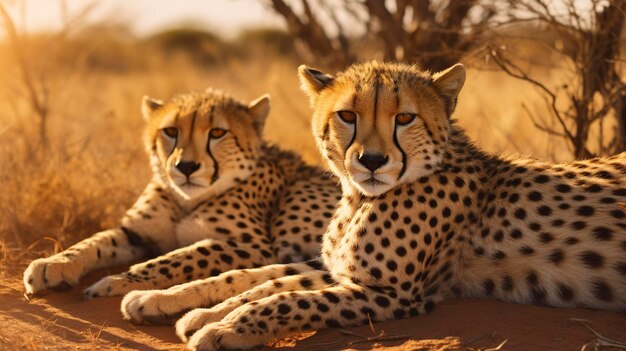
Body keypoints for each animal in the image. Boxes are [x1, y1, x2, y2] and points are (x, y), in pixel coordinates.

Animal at [22, 88, 338, 300]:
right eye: (171, 131)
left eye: (218, 133)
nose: (186, 166)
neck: (187, 199)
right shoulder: (136, 233)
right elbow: (94, 241)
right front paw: (53, 264)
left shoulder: (254, 246)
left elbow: (180, 257)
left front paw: (118, 281)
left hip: (295, 197)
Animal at [129, 62, 620, 350]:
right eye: (347, 116)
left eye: (404, 118)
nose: (372, 160)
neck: (359, 198)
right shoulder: (338, 268)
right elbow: (253, 278)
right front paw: (168, 300)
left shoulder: (395, 293)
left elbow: (285, 298)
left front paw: (225, 329)